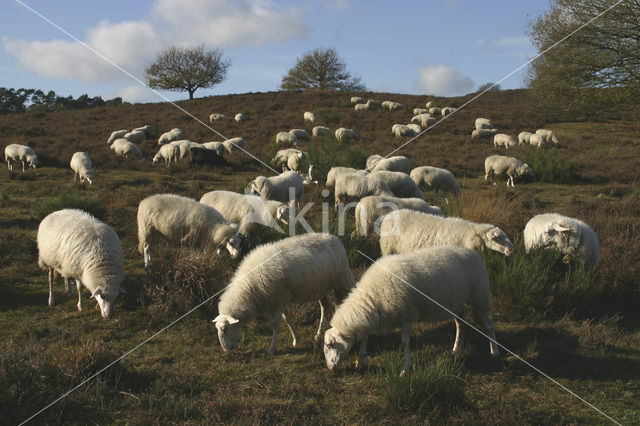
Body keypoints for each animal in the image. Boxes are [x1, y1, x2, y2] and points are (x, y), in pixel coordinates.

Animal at [214, 231, 356, 354]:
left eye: (224, 329)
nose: (225, 349)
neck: (249, 287)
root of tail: (334, 238)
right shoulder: (281, 298)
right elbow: (286, 319)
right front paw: (296, 340)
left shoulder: (282, 297)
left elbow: (275, 323)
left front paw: (272, 348)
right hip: (321, 288)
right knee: (324, 308)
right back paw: (317, 335)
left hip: (341, 279)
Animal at [324, 245, 500, 374]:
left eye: (330, 345)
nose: (330, 368)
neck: (372, 296)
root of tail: (474, 253)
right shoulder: (375, 318)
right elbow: (365, 338)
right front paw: (360, 361)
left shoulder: (406, 315)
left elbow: (405, 342)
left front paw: (405, 369)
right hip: (456, 303)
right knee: (460, 323)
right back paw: (456, 348)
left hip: (480, 297)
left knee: (489, 326)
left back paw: (495, 352)